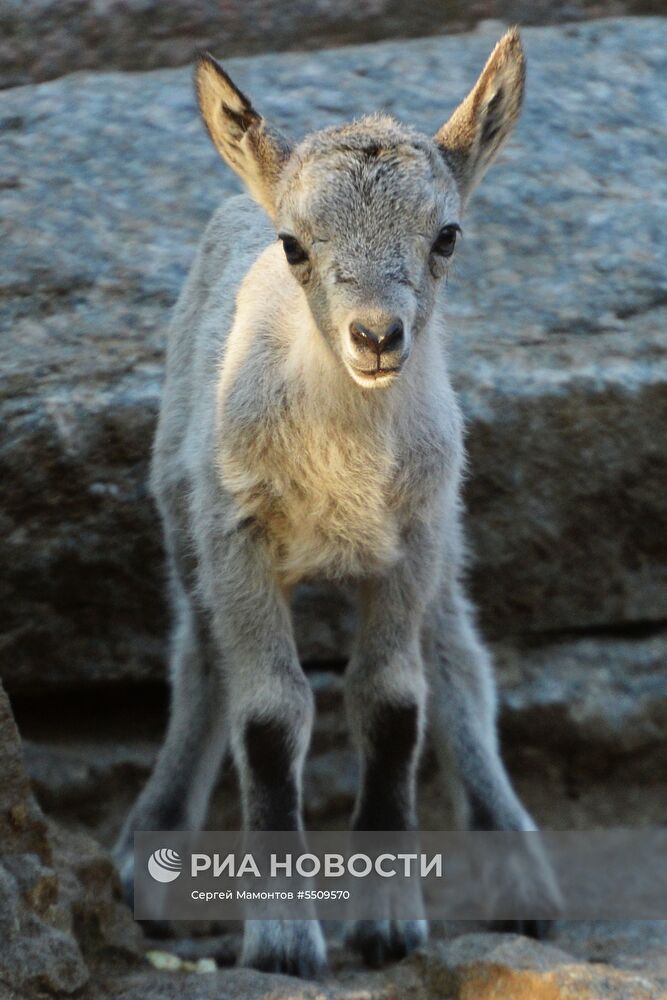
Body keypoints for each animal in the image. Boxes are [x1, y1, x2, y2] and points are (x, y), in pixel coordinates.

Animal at [117, 29, 556, 976]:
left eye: (446, 235)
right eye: (294, 246)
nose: (376, 336)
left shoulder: (413, 539)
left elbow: (391, 704)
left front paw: (387, 924)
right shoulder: (236, 536)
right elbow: (268, 716)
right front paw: (282, 939)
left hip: (443, 534)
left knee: (458, 660)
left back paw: (522, 877)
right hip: (183, 514)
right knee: (200, 661)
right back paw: (148, 856)